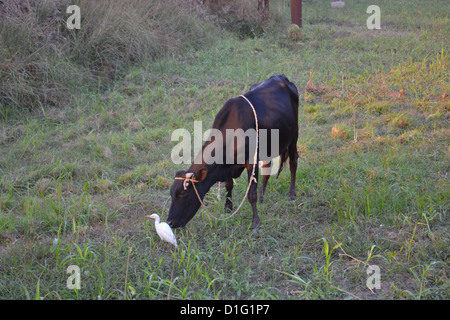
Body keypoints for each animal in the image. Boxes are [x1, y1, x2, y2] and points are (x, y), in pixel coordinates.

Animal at [166, 74, 298, 230]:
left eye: (183, 194)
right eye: (171, 193)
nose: (169, 222)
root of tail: (280, 77)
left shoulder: (251, 161)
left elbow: (251, 193)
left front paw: (256, 222)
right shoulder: (228, 165)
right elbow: (229, 185)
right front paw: (228, 208)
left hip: (294, 136)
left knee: (293, 163)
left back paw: (291, 194)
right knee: (267, 169)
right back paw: (262, 197)